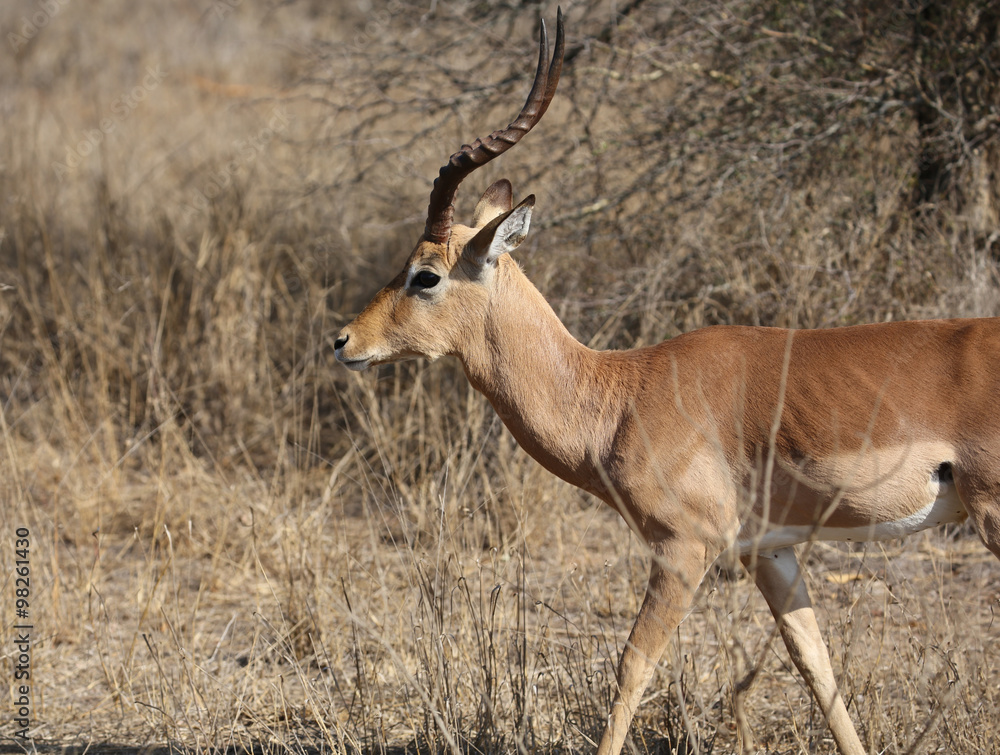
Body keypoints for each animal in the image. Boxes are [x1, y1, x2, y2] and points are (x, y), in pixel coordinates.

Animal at [333, 11, 1000, 755]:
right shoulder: (769, 550)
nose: (344, 341)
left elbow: (631, 664)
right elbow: (817, 666)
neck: (619, 392)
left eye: (426, 275)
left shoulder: (684, 548)